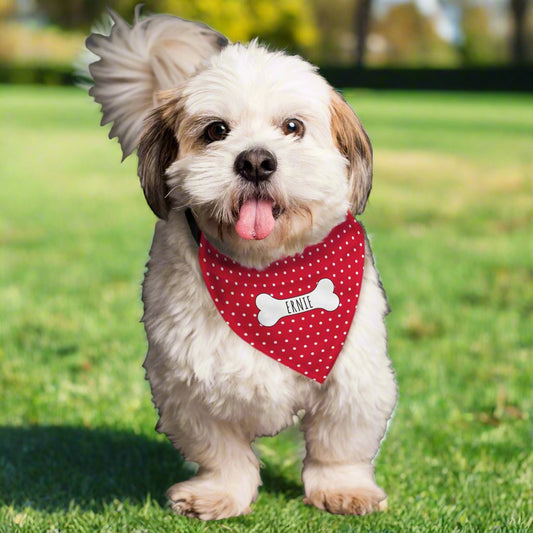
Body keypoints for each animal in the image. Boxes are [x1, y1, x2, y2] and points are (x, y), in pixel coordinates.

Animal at [86, 8, 394, 520]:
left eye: (292, 127)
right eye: (216, 131)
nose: (255, 160)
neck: (269, 273)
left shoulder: (352, 378)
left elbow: (338, 445)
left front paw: (342, 488)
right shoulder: (188, 384)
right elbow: (222, 452)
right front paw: (219, 493)